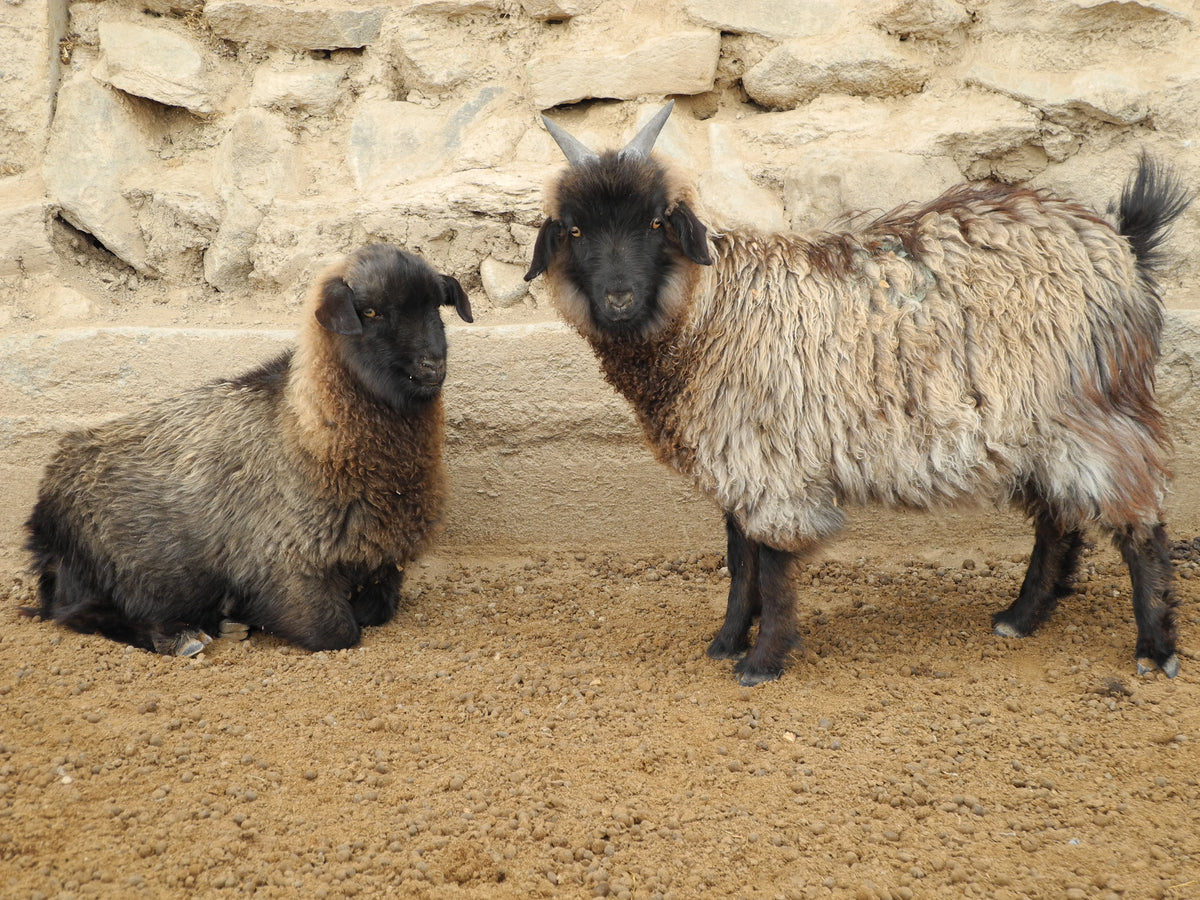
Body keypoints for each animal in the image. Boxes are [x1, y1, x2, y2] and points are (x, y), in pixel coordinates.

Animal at [25, 244, 473, 656]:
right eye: (371, 312)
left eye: (436, 306)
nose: (432, 365)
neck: (305, 432)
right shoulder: (284, 569)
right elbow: (337, 633)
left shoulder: (384, 561)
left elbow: (378, 610)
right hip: (105, 572)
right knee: (77, 613)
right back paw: (182, 636)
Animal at [525, 101, 1192, 685]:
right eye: (576, 229)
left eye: (655, 221)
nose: (618, 301)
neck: (713, 310)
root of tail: (1120, 243)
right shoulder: (740, 460)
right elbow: (741, 561)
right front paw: (726, 641)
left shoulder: (773, 465)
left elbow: (771, 568)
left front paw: (762, 660)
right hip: (1039, 425)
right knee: (1060, 518)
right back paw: (1021, 617)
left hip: (1093, 411)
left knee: (1141, 521)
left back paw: (1155, 649)